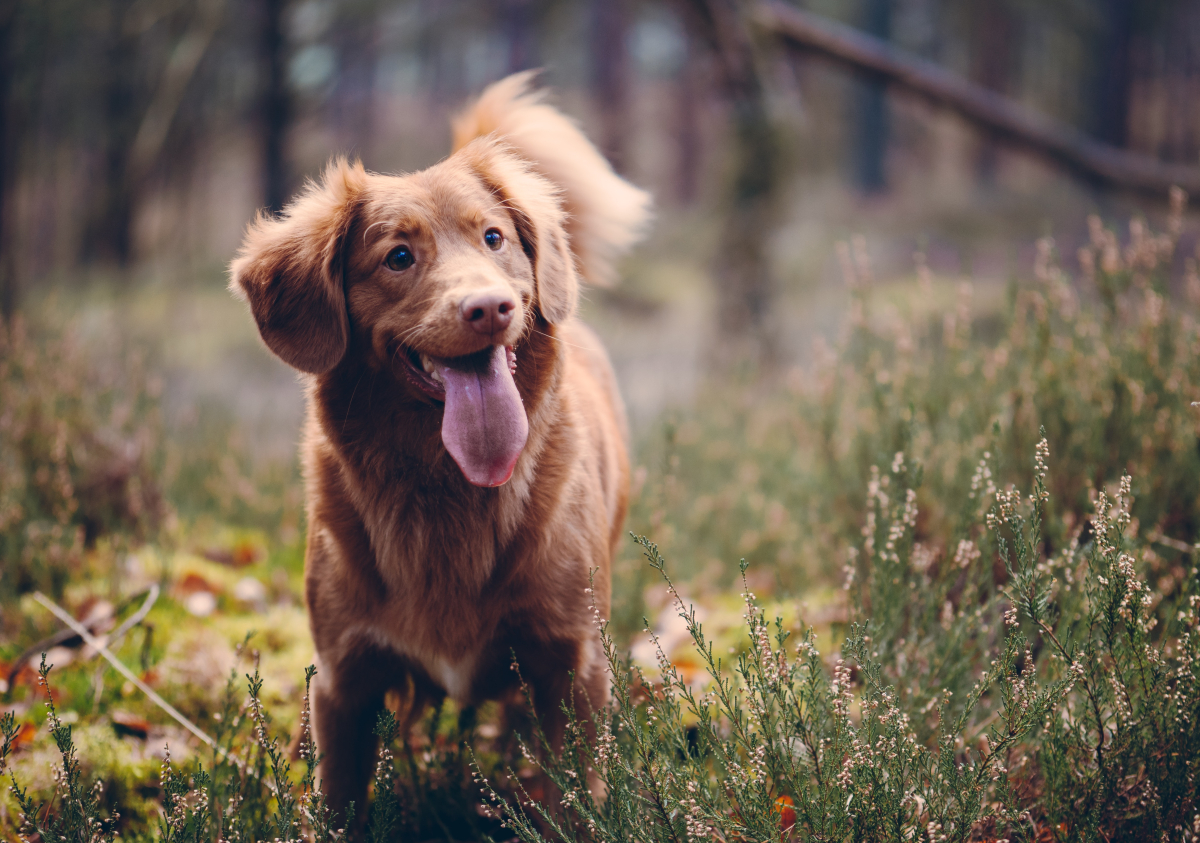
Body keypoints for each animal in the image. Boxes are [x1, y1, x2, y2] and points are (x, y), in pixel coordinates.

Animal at [230, 74, 652, 816]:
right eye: (398, 256)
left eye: (494, 238)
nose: (490, 308)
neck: (446, 485)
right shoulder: (345, 678)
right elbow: (339, 804)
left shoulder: (572, 665)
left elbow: (568, 801)